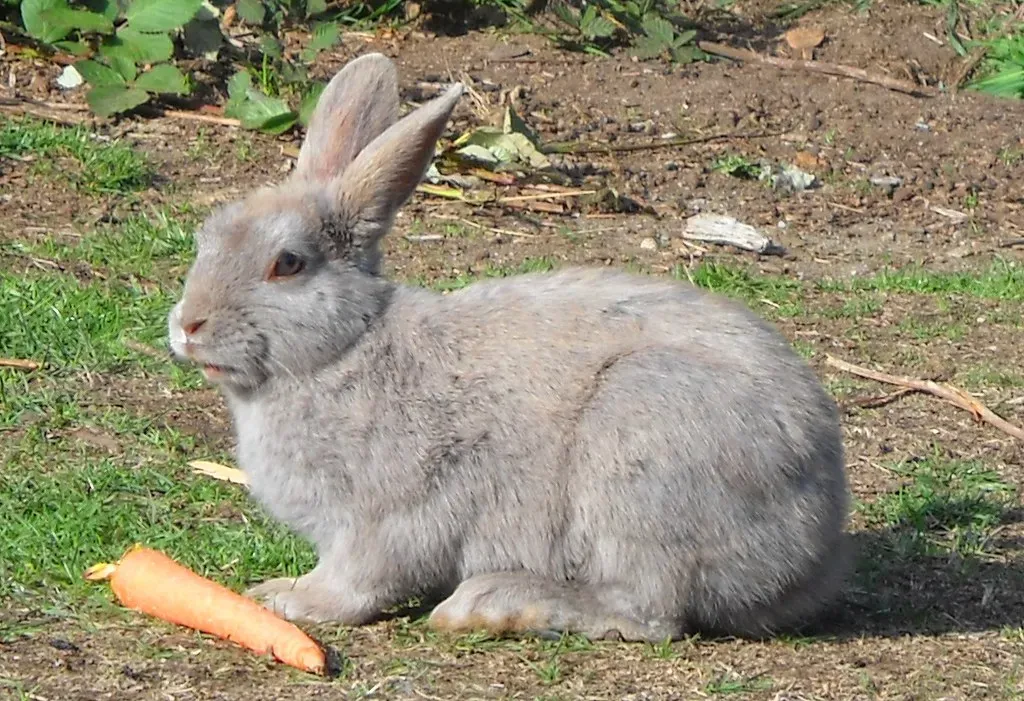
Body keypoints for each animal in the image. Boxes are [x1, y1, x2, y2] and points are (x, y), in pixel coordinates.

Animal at [167, 52, 852, 642]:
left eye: (287, 264)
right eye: (209, 234)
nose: (187, 326)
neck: (348, 347)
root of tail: (817, 544)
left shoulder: (387, 519)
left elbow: (359, 580)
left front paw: (286, 599)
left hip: (639, 451)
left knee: (649, 610)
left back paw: (493, 605)